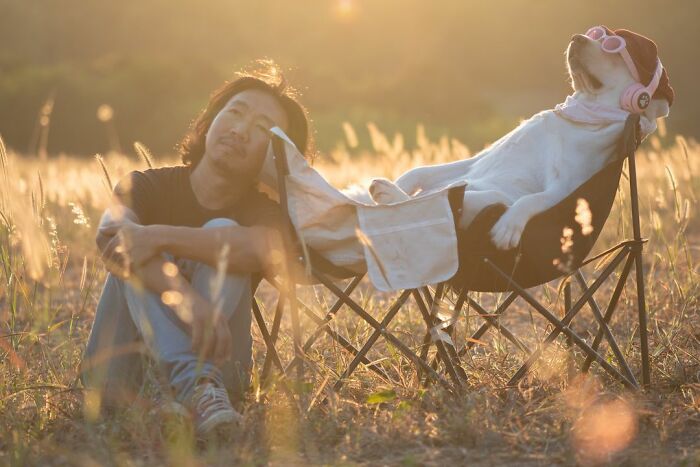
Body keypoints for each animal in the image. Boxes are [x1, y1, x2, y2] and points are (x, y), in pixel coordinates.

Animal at [366, 24, 672, 252]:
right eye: (597, 35)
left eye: (613, 48)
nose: (576, 38)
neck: (583, 113)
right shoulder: (475, 160)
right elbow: (420, 170)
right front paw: (402, 180)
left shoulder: (564, 189)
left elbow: (530, 201)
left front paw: (509, 225)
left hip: (490, 197)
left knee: (435, 204)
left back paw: (387, 193)